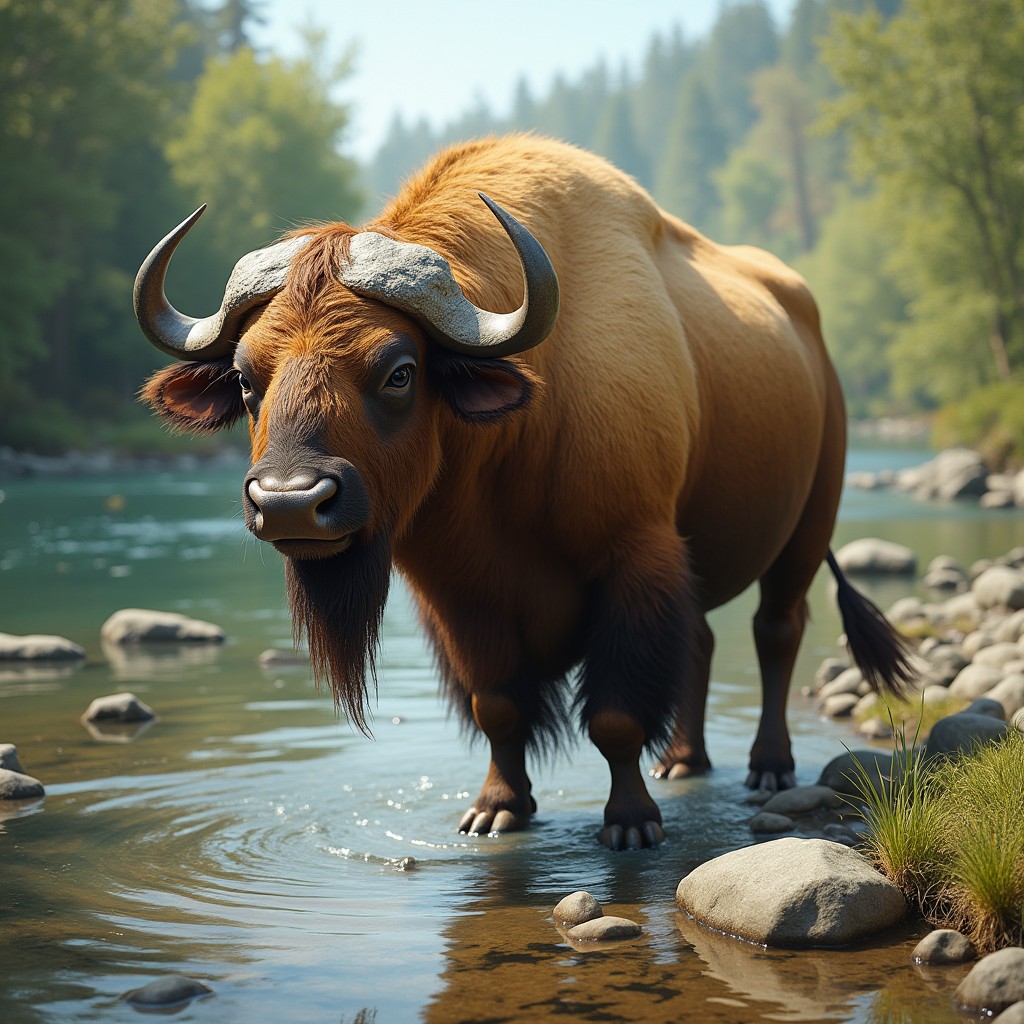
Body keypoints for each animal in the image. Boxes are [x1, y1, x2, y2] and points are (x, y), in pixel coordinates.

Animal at [135, 135, 911, 850]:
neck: (513, 450)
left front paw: (631, 822)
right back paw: (684, 761)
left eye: (399, 371)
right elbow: (498, 709)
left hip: (806, 530)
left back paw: (768, 766)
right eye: (245, 378)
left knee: (775, 633)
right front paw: (497, 810)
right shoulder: (459, 598)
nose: (291, 502)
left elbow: (616, 716)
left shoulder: (636, 558)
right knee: (703, 641)